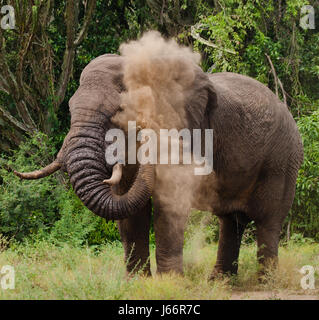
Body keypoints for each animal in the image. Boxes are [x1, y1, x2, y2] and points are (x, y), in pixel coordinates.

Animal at [14, 33, 304, 280]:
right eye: (71, 109)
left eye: (116, 114)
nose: (145, 131)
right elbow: (129, 210)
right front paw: (137, 283)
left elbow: (168, 203)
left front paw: (170, 283)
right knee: (231, 221)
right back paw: (221, 282)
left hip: (282, 160)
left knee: (268, 220)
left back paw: (266, 282)